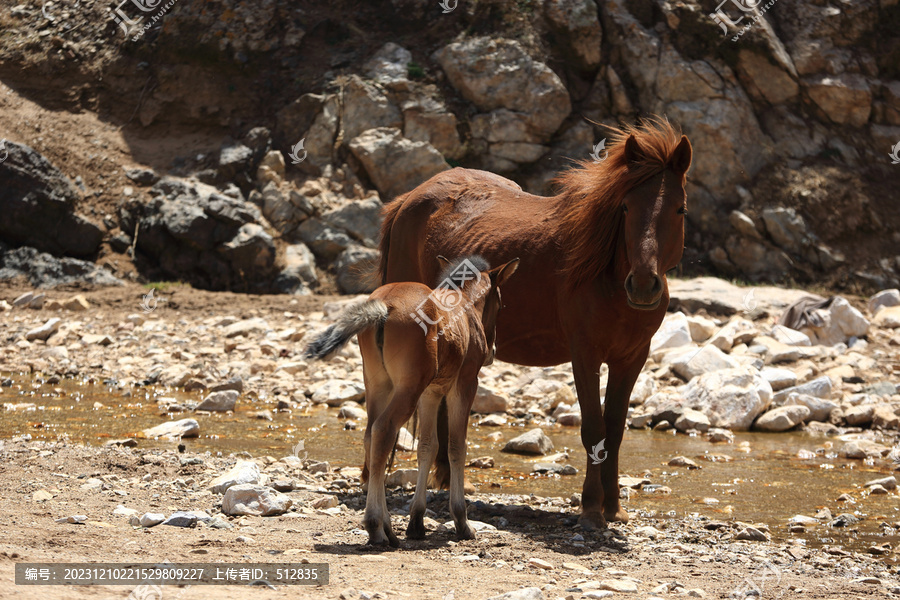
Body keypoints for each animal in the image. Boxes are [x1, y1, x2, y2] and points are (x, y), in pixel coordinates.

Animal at [376, 118, 692, 528]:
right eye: (625, 207)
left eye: (680, 209)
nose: (642, 284)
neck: (605, 278)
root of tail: (407, 200)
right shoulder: (585, 355)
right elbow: (594, 428)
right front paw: (591, 508)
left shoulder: (631, 359)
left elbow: (615, 428)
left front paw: (614, 507)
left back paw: (447, 479)